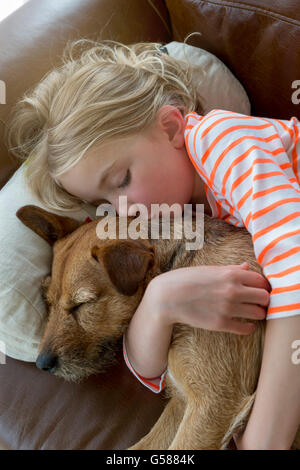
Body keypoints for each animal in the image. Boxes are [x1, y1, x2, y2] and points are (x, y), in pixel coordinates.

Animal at [15, 207, 300, 452]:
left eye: (82, 303)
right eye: (47, 301)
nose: (42, 364)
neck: (177, 267)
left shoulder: (213, 404)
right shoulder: (182, 401)